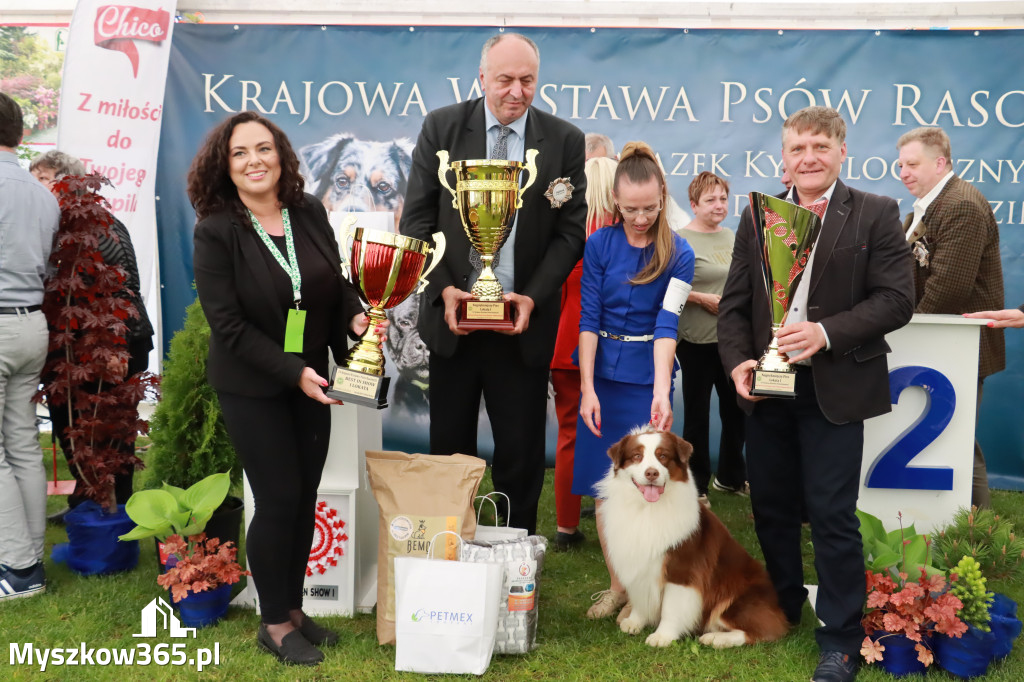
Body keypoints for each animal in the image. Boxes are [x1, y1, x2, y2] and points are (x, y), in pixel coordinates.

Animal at [598, 428, 786, 647]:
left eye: (663, 456)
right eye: (637, 456)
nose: (651, 473)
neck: (648, 508)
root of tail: (780, 610)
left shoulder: (682, 570)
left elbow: (671, 608)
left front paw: (663, 636)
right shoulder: (637, 562)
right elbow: (640, 595)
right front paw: (635, 621)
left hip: (737, 598)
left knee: (759, 632)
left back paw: (715, 639)